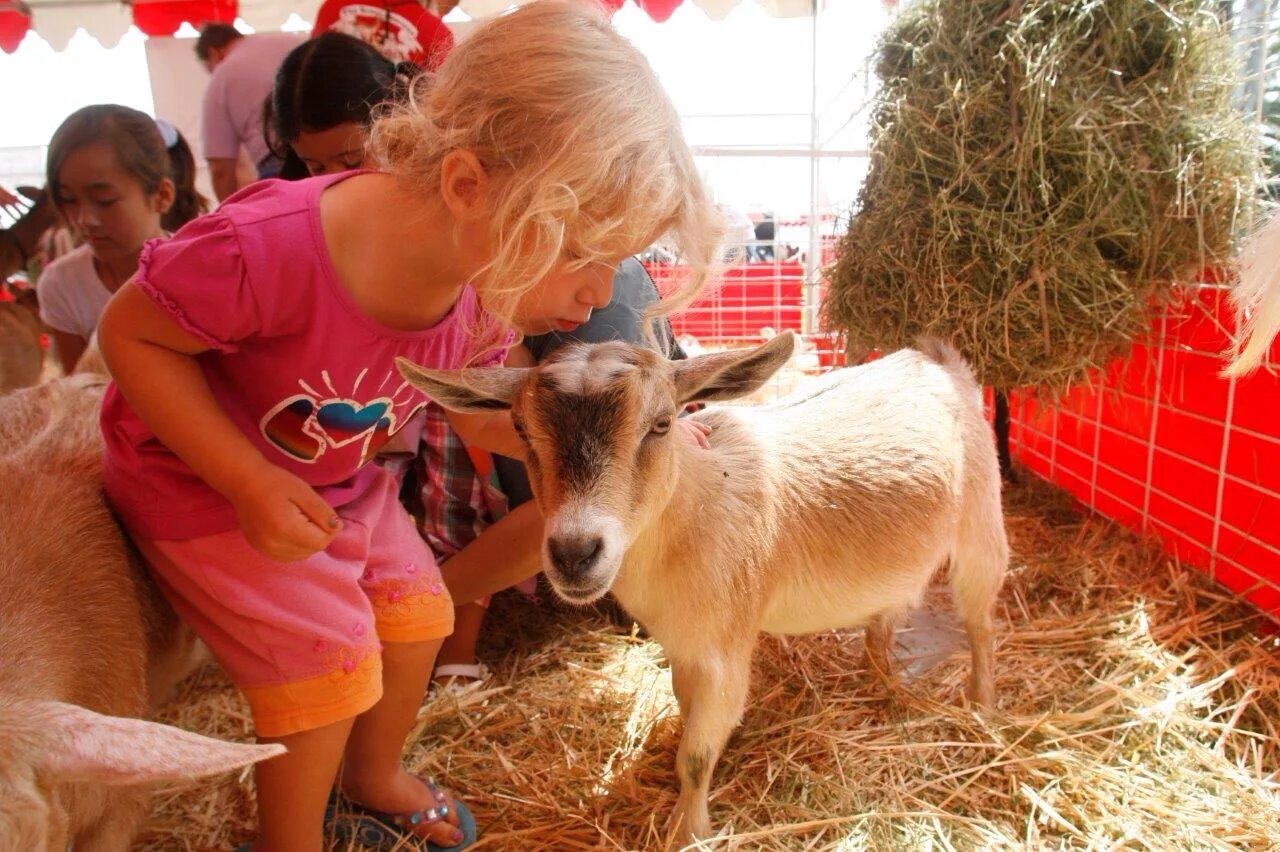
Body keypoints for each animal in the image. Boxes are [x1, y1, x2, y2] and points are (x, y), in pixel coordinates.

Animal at [399, 330, 1008, 834]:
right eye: (521, 429)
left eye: (661, 423)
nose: (575, 553)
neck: (689, 510)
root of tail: (934, 357)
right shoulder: (681, 644)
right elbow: (686, 715)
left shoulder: (724, 649)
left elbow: (696, 754)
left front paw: (687, 832)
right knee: (885, 620)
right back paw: (880, 686)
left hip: (982, 526)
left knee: (981, 624)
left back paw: (982, 705)